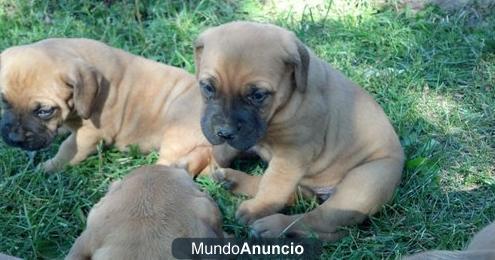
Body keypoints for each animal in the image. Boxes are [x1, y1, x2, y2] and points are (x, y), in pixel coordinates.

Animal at [0, 37, 211, 174]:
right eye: (3, 100)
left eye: (44, 111)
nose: (13, 138)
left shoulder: (90, 135)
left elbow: (67, 150)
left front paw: (47, 168)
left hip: (176, 137)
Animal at [195, 21, 406, 241]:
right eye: (208, 87)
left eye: (258, 95)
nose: (224, 132)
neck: (285, 103)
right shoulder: (252, 139)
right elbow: (225, 151)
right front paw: (212, 164)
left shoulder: (291, 154)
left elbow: (273, 185)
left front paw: (257, 209)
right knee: (297, 195)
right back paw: (232, 180)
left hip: (362, 186)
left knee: (316, 219)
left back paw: (275, 226)